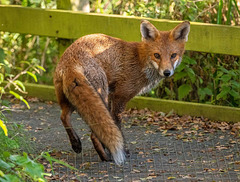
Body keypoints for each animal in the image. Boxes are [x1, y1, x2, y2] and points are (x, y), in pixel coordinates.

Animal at [53, 19, 190, 165]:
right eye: (157, 55)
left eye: (173, 55)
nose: (167, 72)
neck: (140, 60)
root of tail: (71, 62)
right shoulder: (120, 96)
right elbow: (117, 126)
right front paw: (122, 150)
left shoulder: (112, 95)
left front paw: (109, 147)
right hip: (99, 95)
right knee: (93, 133)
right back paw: (105, 157)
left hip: (75, 98)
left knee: (64, 116)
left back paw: (76, 144)